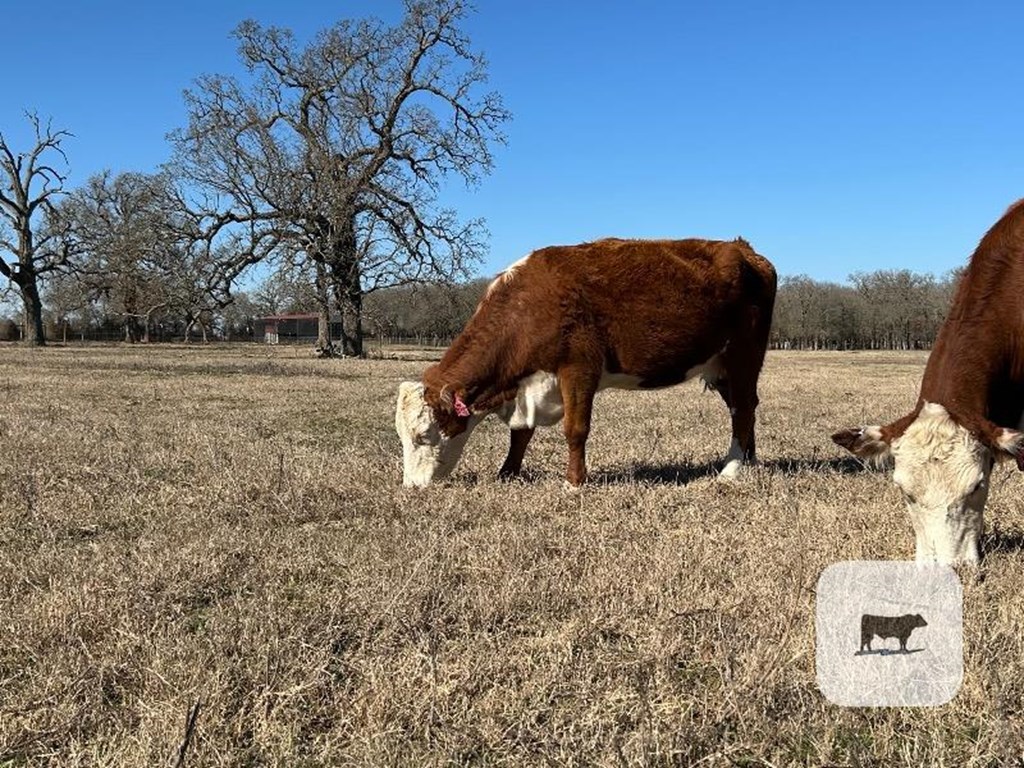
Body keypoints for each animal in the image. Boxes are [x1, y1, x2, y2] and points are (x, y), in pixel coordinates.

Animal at [393, 236, 774, 487]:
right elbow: (521, 434)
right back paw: (749, 460)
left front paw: (574, 482)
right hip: (720, 366)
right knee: (744, 408)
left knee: (742, 408)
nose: (412, 486)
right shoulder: (529, 384)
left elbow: (575, 430)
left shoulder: (578, 370)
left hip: (743, 355)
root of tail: (742, 248)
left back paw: (731, 470)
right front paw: (507, 473)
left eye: (423, 436)